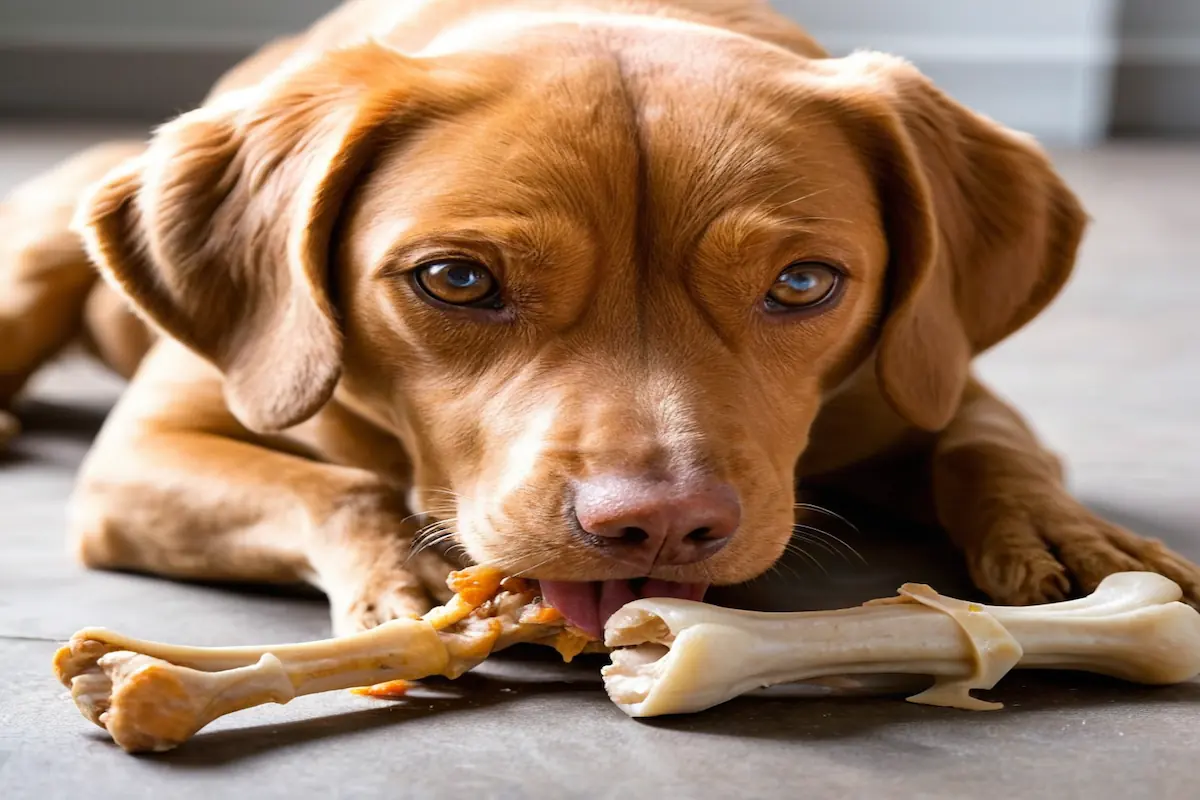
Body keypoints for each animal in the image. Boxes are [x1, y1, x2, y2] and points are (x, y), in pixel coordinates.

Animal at [4, 0, 1195, 638]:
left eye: (805, 284)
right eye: (457, 280)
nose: (661, 525)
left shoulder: (933, 379)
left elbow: (987, 443)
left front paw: (1068, 530)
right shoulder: (142, 456)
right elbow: (338, 486)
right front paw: (405, 575)